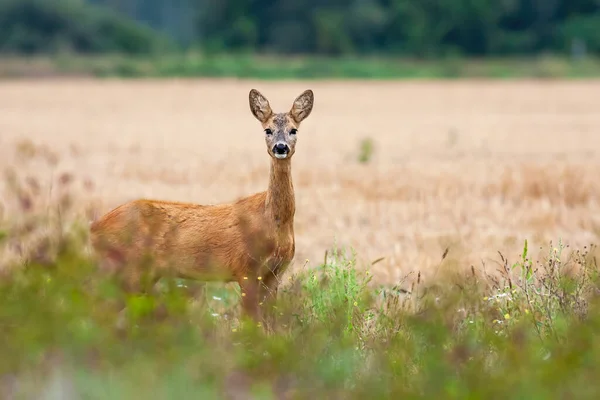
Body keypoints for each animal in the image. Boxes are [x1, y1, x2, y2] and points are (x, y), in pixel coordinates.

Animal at [90, 89, 314, 324]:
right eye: (267, 130)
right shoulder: (245, 268)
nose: (280, 147)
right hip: (125, 267)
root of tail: (94, 228)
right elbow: (250, 322)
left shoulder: (275, 274)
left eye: (293, 130)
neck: (273, 223)